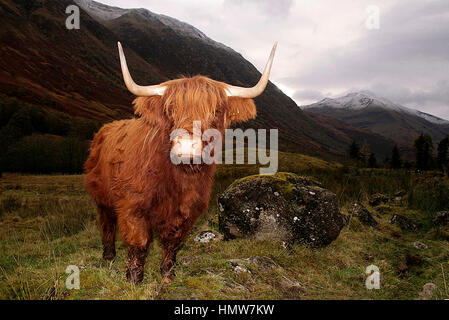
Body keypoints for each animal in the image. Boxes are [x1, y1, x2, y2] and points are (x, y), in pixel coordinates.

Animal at [82, 42, 274, 282]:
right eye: (169, 109)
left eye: (216, 111)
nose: (186, 146)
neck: (178, 179)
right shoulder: (132, 203)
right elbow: (138, 241)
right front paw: (134, 279)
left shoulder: (188, 209)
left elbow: (173, 241)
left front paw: (167, 274)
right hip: (102, 197)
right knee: (107, 224)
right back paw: (108, 257)